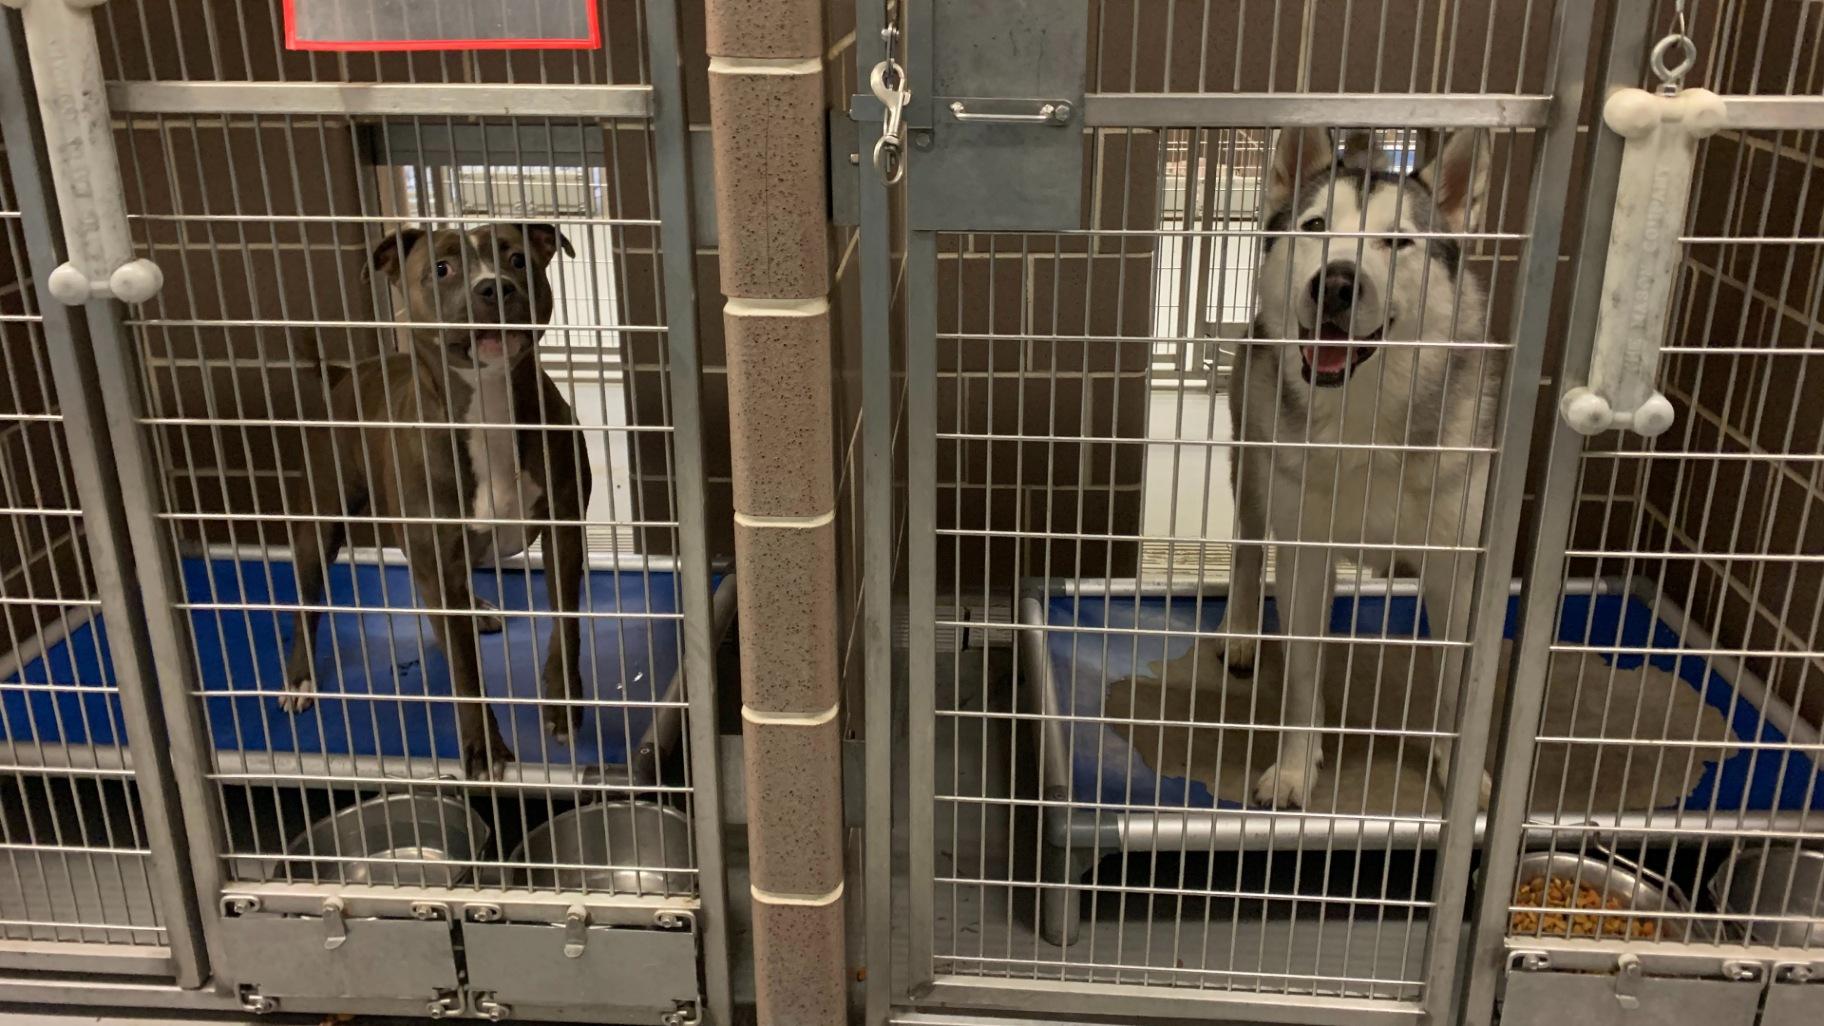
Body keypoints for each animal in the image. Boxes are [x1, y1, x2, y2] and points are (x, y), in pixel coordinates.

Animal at [1218, 124, 1502, 806]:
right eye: (1316, 226)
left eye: (1397, 240)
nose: (1338, 281)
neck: (1362, 419)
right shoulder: (1305, 551)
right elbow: (1301, 678)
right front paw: (1297, 766)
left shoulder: (1457, 567)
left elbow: (1456, 686)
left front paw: (1458, 769)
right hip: (1253, 464)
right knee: (1247, 549)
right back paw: (1240, 630)